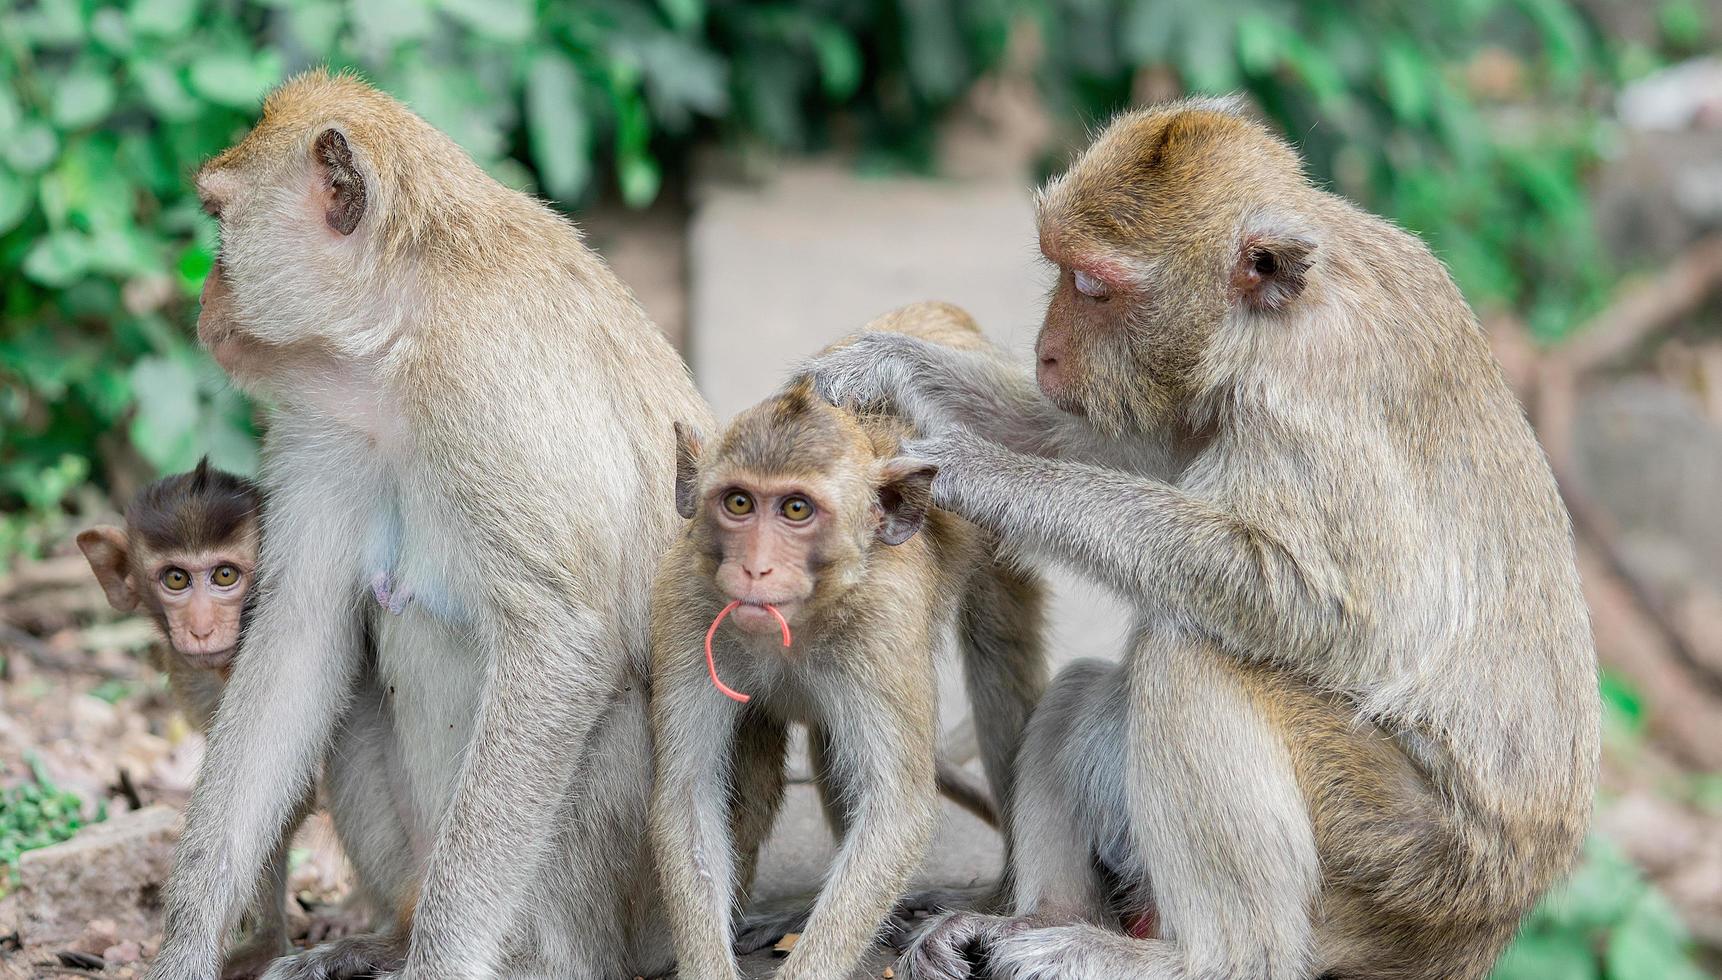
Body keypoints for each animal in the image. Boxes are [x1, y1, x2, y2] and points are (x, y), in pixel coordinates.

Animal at [80, 461, 416, 971]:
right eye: (175, 579)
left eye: (224, 575)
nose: (200, 628)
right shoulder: (192, 679)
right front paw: (261, 936)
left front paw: (269, 940)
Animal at [148, 70, 709, 978]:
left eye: (214, 221)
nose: (204, 297)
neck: (399, 333)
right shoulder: (326, 419)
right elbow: (300, 635)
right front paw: (188, 942)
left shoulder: (488, 393)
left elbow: (561, 643)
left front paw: (442, 962)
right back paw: (382, 940)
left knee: (614, 714)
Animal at [647, 301, 1040, 978]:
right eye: (739, 503)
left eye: (796, 510)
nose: (755, 569)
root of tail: (934, 314)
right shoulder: (686, 608)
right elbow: (688, 795)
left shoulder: (882, 630)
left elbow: (895, 812)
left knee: (997, 655)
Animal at [805, 99, 1598, 978]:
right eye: (1058, 267)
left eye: (1093, 286)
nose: (1048, 353)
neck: (1268, 325)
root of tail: (1482, 933)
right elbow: (1091, 440)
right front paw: (886, 365)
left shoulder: (1305, 399)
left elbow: (1311, 602)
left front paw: (979, 474)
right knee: (1090, 683)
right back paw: (1036, 917)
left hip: (1399, 868)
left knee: (1197, 654)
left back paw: (1209, 957)